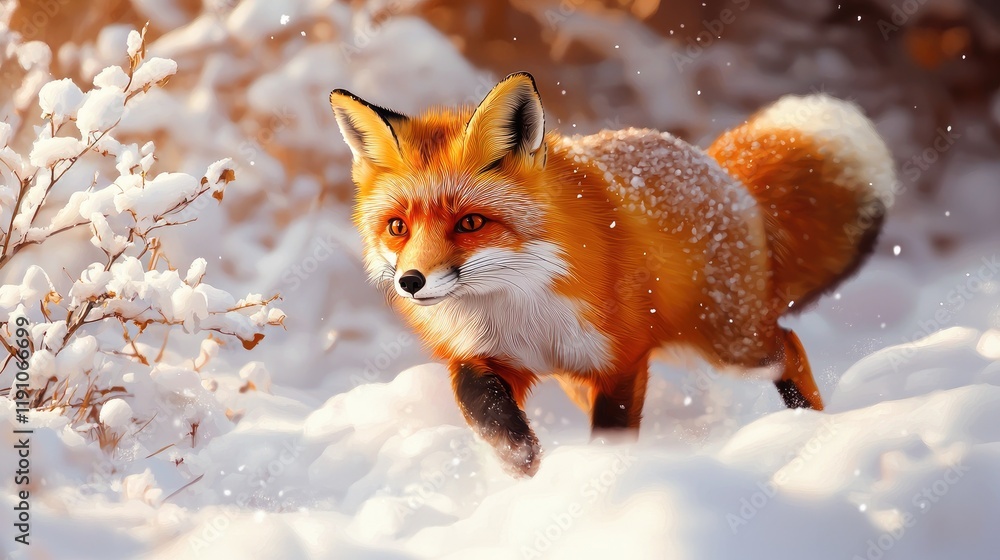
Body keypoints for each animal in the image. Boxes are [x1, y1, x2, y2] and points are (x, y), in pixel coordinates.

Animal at [329, 72, 895, 477]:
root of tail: (717, 171)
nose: (411, 282)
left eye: (470, 223)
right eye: (397, 227)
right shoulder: (486, 355)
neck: (521, 306)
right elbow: (477, 403)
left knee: (790, 347)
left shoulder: (621, 360)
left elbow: (612, 433)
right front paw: (517, 458)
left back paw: (810, 425)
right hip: (583, 377)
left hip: (732, 345)